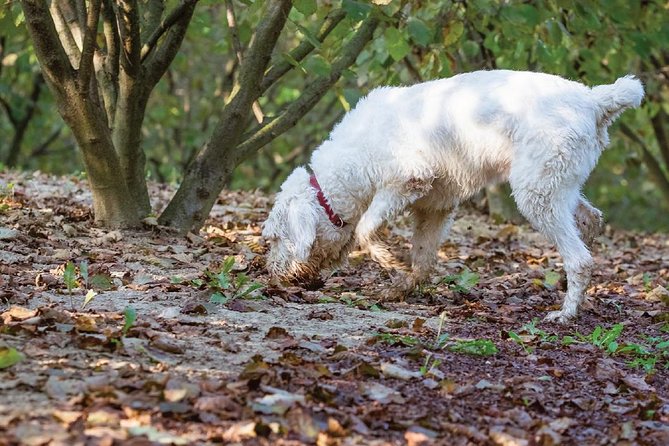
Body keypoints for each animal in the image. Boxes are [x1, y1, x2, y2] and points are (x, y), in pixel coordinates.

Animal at [264, 69, 644, 320]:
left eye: (274, 238)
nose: (271, 275)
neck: (352, 157)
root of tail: (593, 99)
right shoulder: (435, 208)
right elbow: (423, 260)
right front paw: (399, 287)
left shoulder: (404, 182)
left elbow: (366, 230)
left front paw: (388, 261)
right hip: (557, 187)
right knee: (590, 223)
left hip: (536, 194)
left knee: (580, 259)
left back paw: (565, 313)